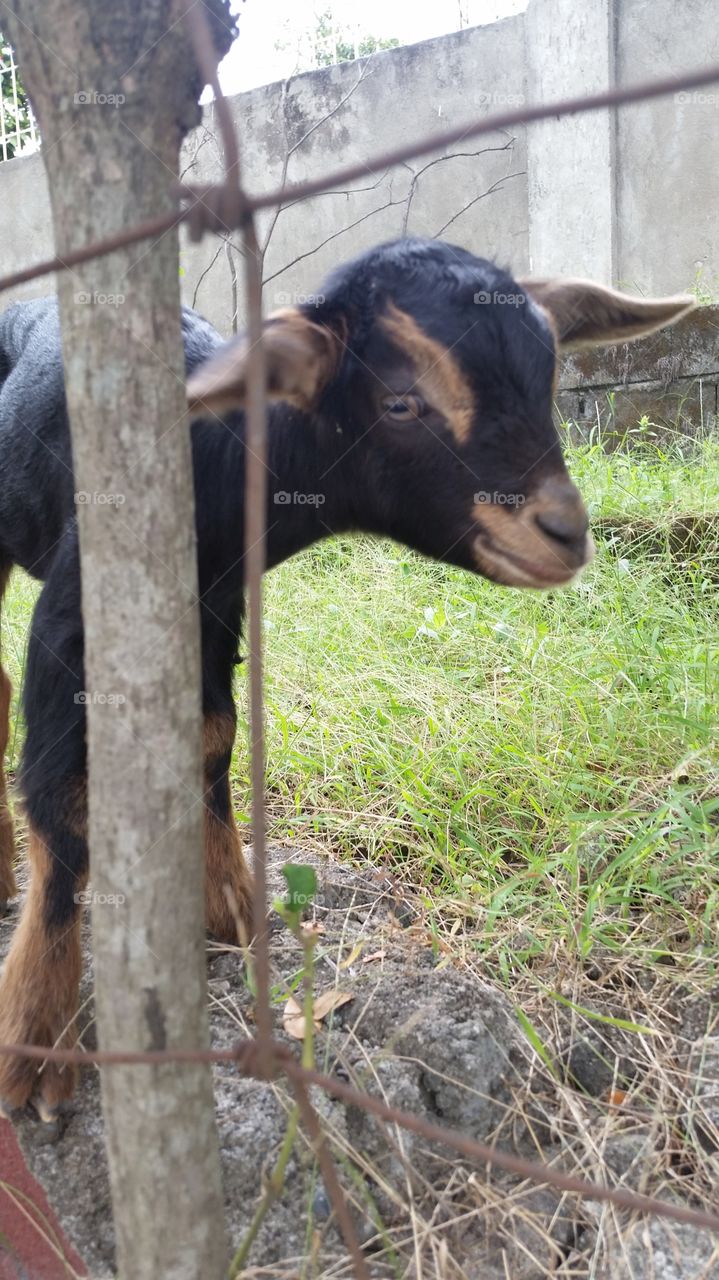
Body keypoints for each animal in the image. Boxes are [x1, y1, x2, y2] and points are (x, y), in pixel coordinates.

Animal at [0, 237, 693, 1119]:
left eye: (546, 379)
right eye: (399, 403)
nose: (564, 533)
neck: (207, 457)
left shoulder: (213, 601)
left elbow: (212, 734)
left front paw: (229, 900)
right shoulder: (71, 606)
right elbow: (59, 791)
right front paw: (37, 1032)